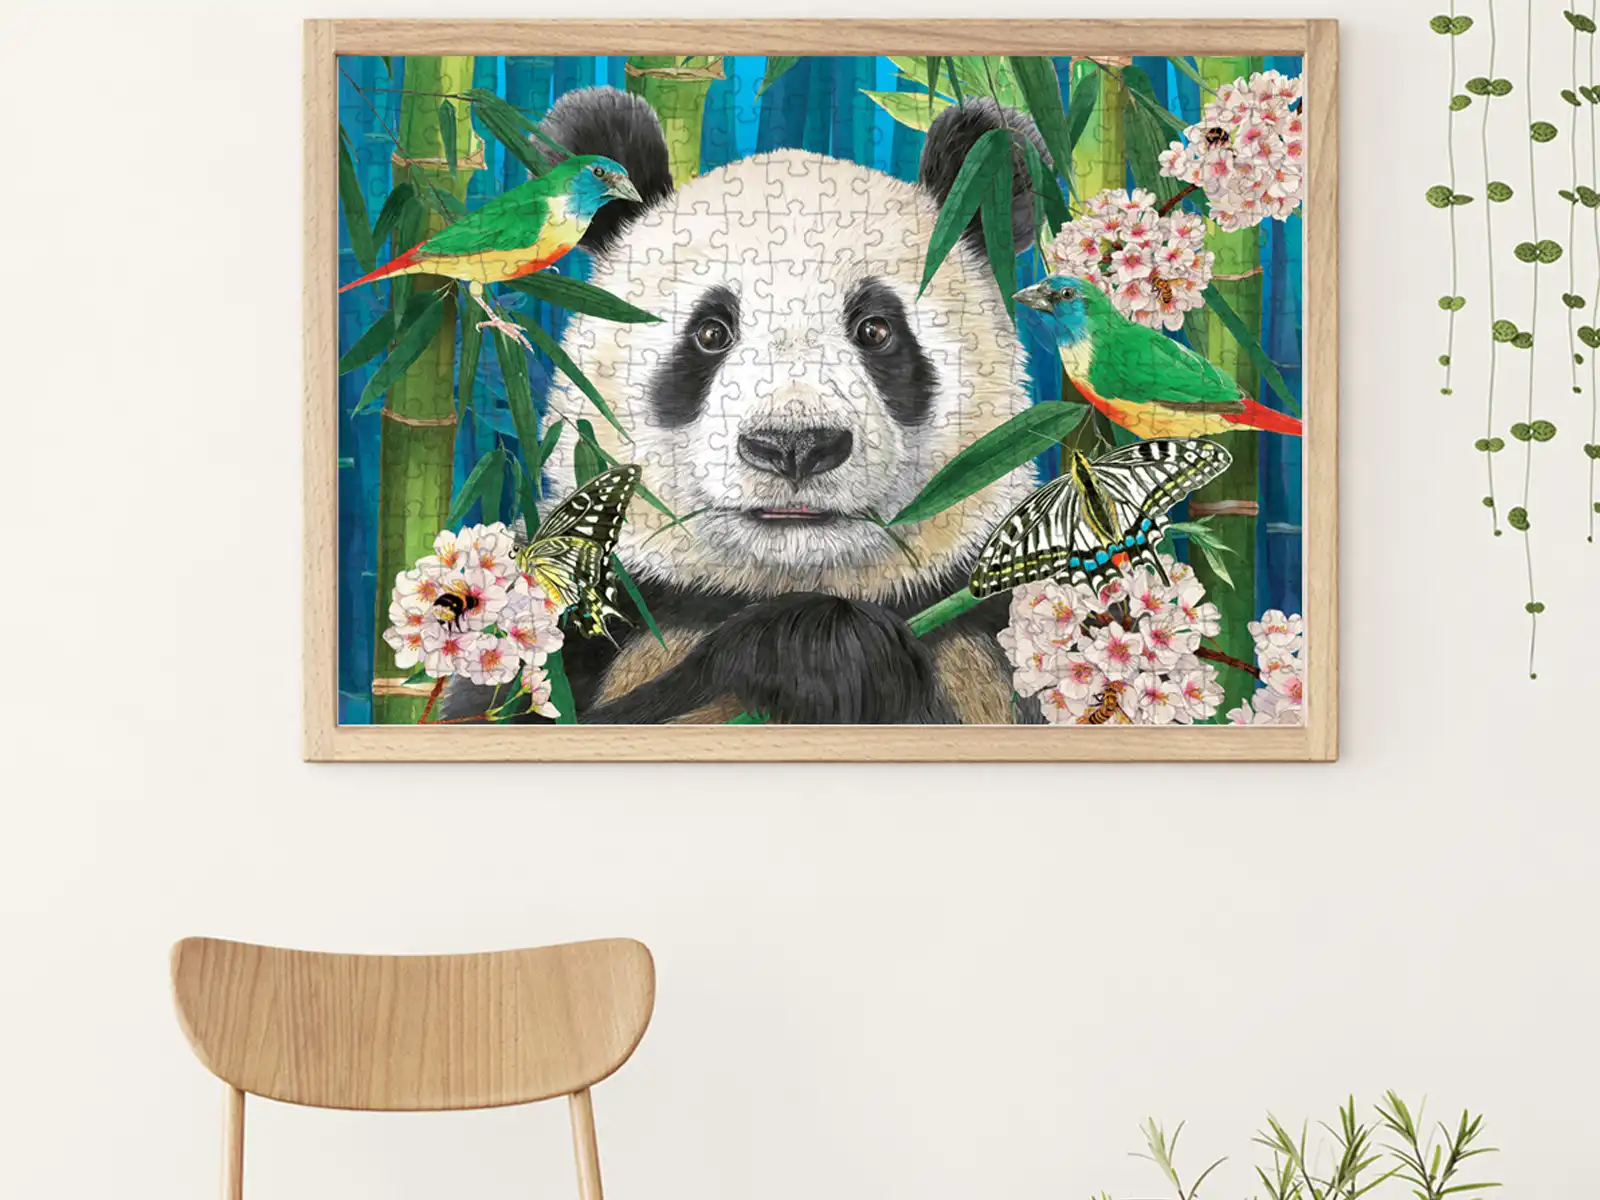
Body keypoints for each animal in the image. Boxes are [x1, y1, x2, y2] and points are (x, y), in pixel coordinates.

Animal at [448, 86, 1052, 725]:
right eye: (710, 332)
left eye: (876, 329)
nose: (795, 445)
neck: (782, 581)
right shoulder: (576, 606)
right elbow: (512, 706)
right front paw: (818, 650)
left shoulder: (990, 617)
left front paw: (823, 646)